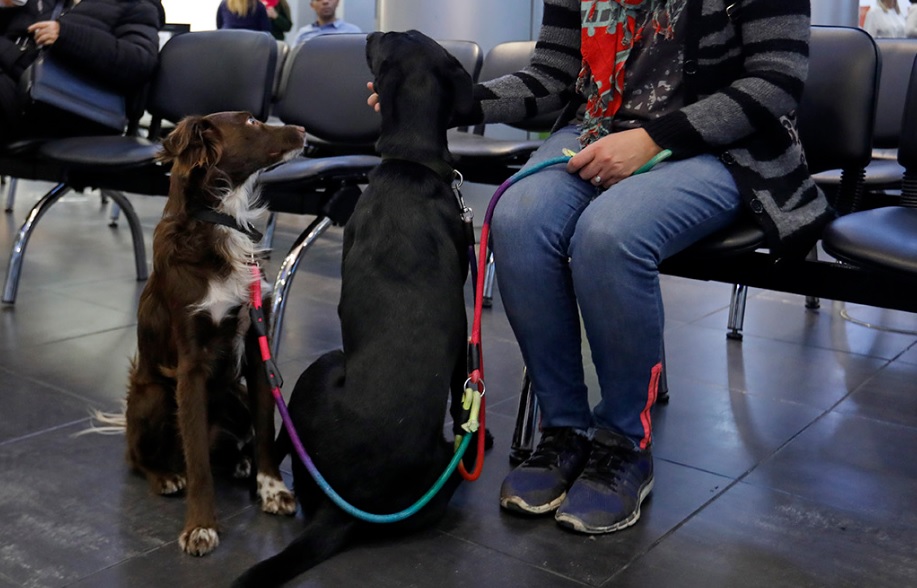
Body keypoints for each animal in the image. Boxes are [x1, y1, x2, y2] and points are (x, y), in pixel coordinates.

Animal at [124, 111, 304, 557]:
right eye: (252, 121)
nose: (304, 131)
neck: (220, 219)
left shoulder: (257, 349)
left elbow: (265, 429)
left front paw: (272, 489)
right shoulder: (190, 366)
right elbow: (199, 461)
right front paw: (201, 527)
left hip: (233, 396)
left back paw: (240, 464)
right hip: (153, 395)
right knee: (136, 457)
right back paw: (165, 476)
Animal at [232, 30, 477, 586]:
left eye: (393, 38)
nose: (369, 33)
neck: (411, 163)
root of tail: (341, 513)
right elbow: (462, 391)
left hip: (321, 365)